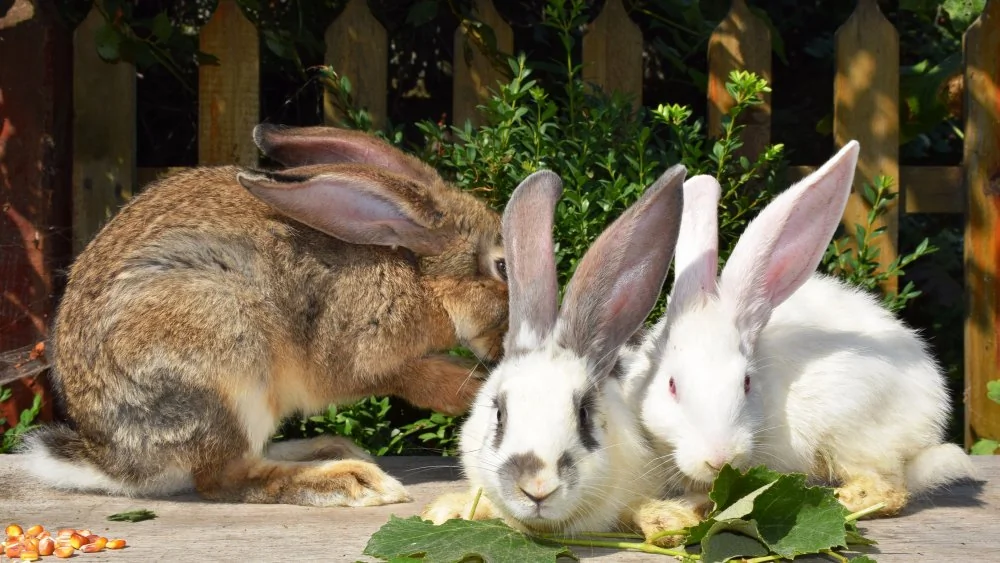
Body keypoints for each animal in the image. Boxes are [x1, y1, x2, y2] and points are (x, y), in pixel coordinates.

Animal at [20, 123, 513, 507]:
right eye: (503, 266)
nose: (507, 341)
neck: (418, 274)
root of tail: (116, 461)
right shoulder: (368, 355)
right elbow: (420, 378)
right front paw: (473, 387)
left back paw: (330, 448)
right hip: (225, 363)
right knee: (225, 479)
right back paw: (351, 480)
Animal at [635, 140, 977, 523]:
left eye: (747, 383)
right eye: (672, 386)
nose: (720, 458)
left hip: (853, 432)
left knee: (890, 490)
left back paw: (842, 500)